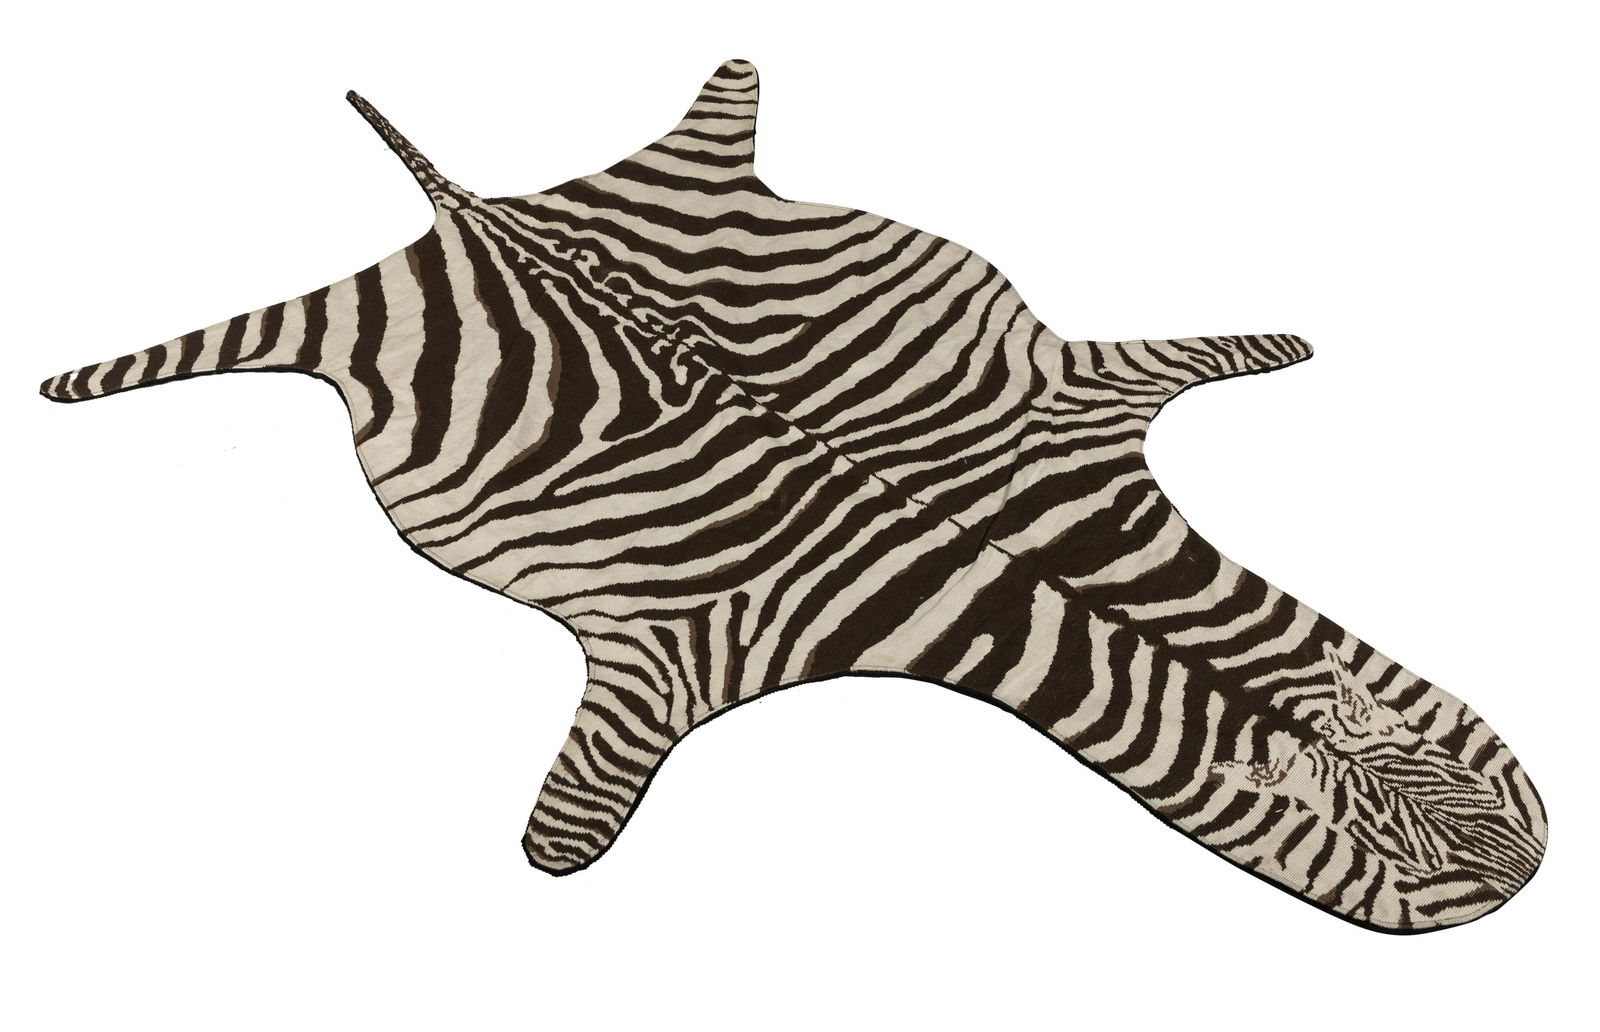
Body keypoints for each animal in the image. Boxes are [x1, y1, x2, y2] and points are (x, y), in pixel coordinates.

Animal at [39, 59, 1545, 933]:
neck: (1027, 567)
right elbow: (580, 813)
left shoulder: (1073, 393)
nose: (1524, 879)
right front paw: (552, 860)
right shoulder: (679, 643)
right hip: (337, 335)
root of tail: (478, 217)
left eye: (1478, 829)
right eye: (1426, 876)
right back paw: (79, 382)